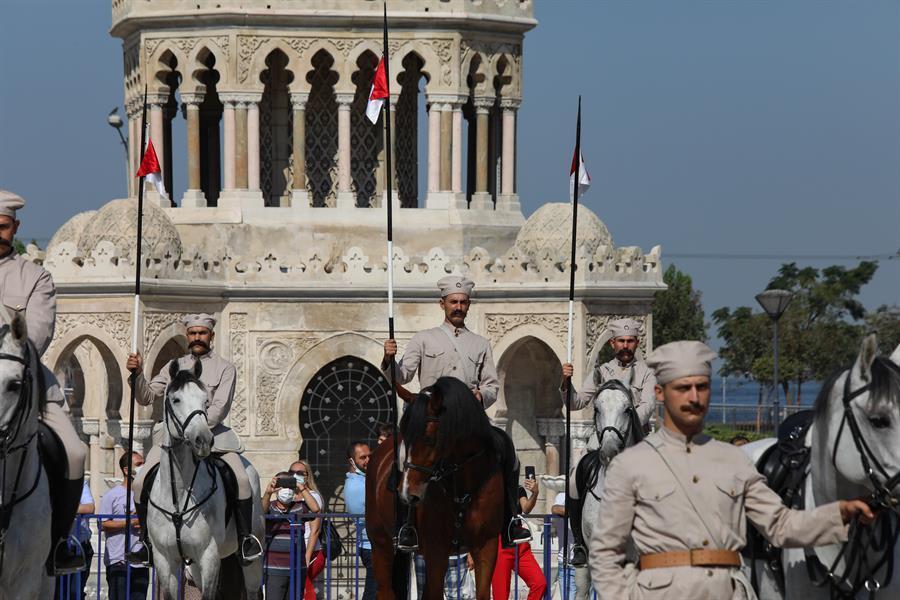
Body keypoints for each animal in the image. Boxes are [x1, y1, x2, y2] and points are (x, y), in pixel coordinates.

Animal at [149, 358, 264, 596]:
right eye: (176, 399)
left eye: (205, 401)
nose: (203, 440)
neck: (179, 492)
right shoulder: (165, 560)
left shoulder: (209, 556)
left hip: (251, 558)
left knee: (252, 588)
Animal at [366, 378, 506, 600]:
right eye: (405, 436)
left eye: (429, 439)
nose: (406, 493)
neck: (464, 488)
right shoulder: (436, 550)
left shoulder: (487, 546)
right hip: (380, 543)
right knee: (386, 590)